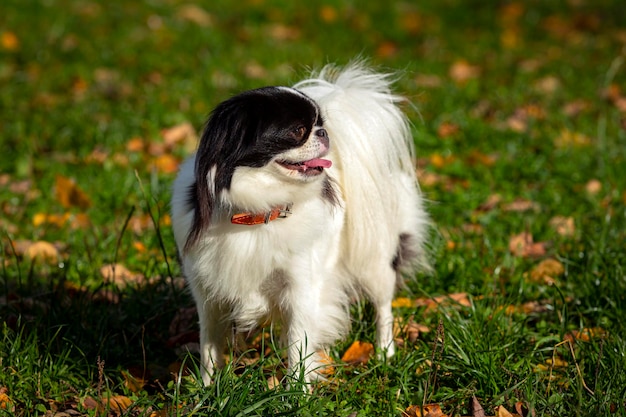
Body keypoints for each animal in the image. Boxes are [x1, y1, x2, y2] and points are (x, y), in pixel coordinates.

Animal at [168, 63, 426, 386]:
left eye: (317, 126)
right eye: (298, 131)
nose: (323, 131)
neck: (257, 213)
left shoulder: (301, 291)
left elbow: (297, 349)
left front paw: (296, 392)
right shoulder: (208, 293)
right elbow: (209, 347)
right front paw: (207, 389)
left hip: (374, 262)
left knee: (383, 307)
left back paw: (384, 353)